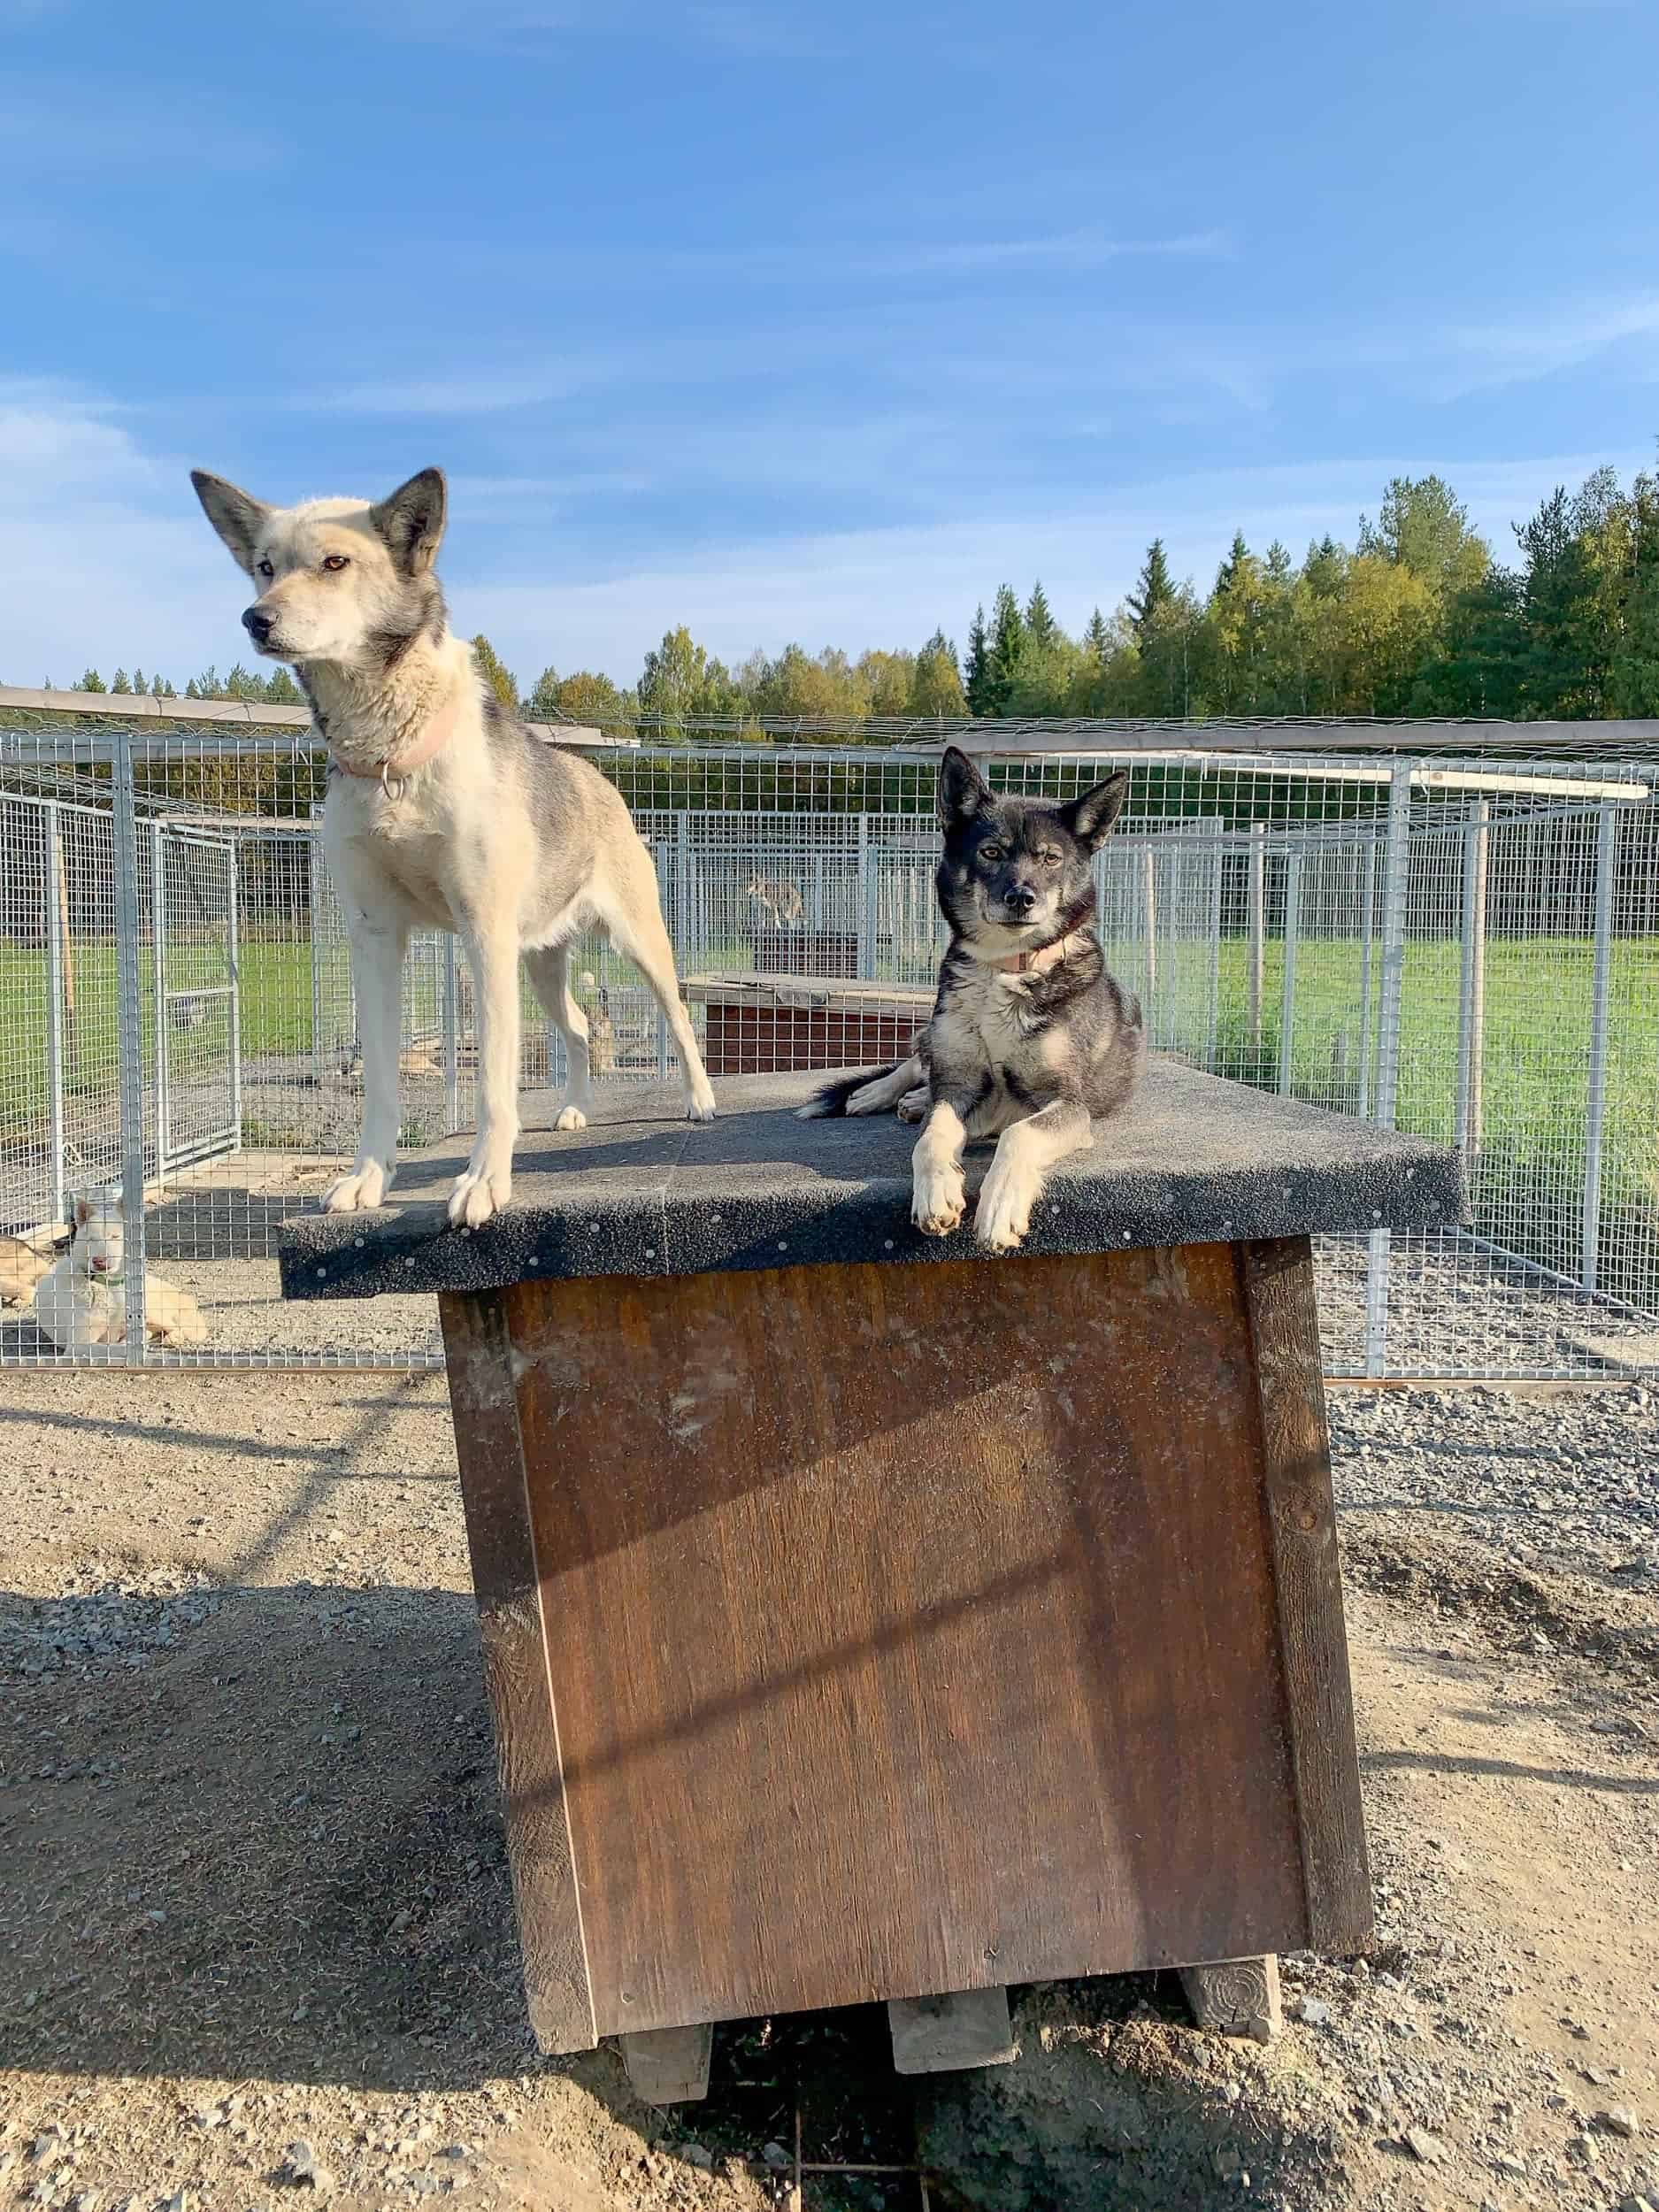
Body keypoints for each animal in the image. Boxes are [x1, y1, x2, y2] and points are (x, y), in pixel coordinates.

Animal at [36, 1194, 208, 1345]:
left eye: (115, 1236)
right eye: (92, 1239)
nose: (99, 1261)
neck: (110, 1286)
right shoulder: (80, 1343)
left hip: (153, 1310)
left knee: (177, 1328)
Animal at [191, 466, 717, 1230]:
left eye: (335, 563)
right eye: (264, 567)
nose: (255, 619)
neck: (390, 757)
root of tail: (597, 777)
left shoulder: (482, 934)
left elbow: (494, 1085)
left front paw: (483, 1183)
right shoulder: (375, 937)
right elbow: (381, 1081)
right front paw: (367, 1179)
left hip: (635, 939)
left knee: (676, 1018)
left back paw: (699, 1099)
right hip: (541, 963)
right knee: (579, 1029)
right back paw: (574, 1109)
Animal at [801, 743, 1141, 1256]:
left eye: (1050, 858)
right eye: (991, 852)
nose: (1021, 897)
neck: (1005, 968)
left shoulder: (1067, 1104)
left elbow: (1018, 1133)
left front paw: (1000, 1205)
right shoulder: (958, 1082)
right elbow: (934, 1134)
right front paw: (935, 1191)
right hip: (936, 1037)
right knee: (917, 1061)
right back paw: (880, 1094)